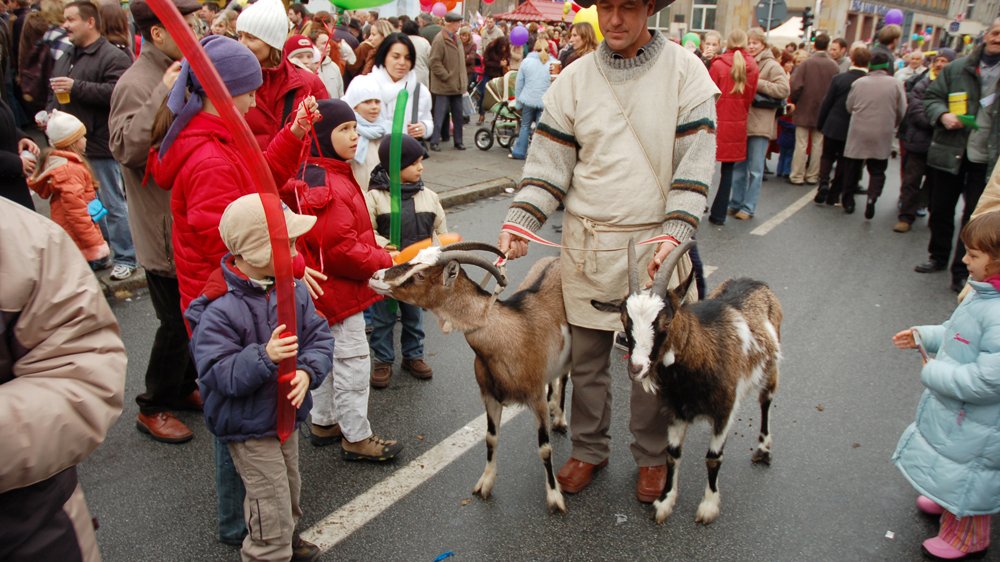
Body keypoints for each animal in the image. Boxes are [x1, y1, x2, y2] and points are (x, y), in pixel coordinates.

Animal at [368, 241, 572, 512]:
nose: (375, 276)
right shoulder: (489, 396)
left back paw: (559, 418)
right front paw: (484, 484)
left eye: (420, 275)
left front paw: (554, 496)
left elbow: (545, 449)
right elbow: (491, 438)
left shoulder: (535, 397)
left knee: (566, 380)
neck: (509, 334)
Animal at [592, 241, 780, 524]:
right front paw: (664, 503)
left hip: (771, 365)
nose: (636, 368)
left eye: (666, 321)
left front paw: (708, 507)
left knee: (765, 400)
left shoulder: (724, 410)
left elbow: (713, 458)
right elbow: (672, 455)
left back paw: (763, 449)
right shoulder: (676, 411)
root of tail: (755, 281)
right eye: (624, 320)